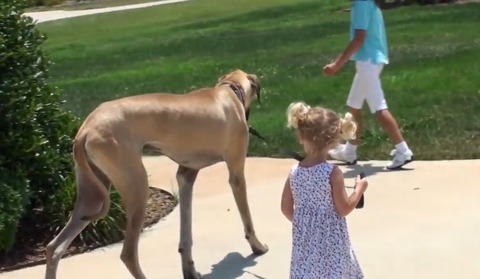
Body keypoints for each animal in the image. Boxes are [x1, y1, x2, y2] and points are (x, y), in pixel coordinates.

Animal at [45, 70, 268, 279]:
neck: (228, 90)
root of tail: (85, 130)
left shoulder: (186, 175)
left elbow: (186, 233)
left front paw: (190, 270)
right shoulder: (236, 174)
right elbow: (247, 218)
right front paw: (257, 247)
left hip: (91, 195)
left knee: (54, 247)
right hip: (136, 186)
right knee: (127, 254)